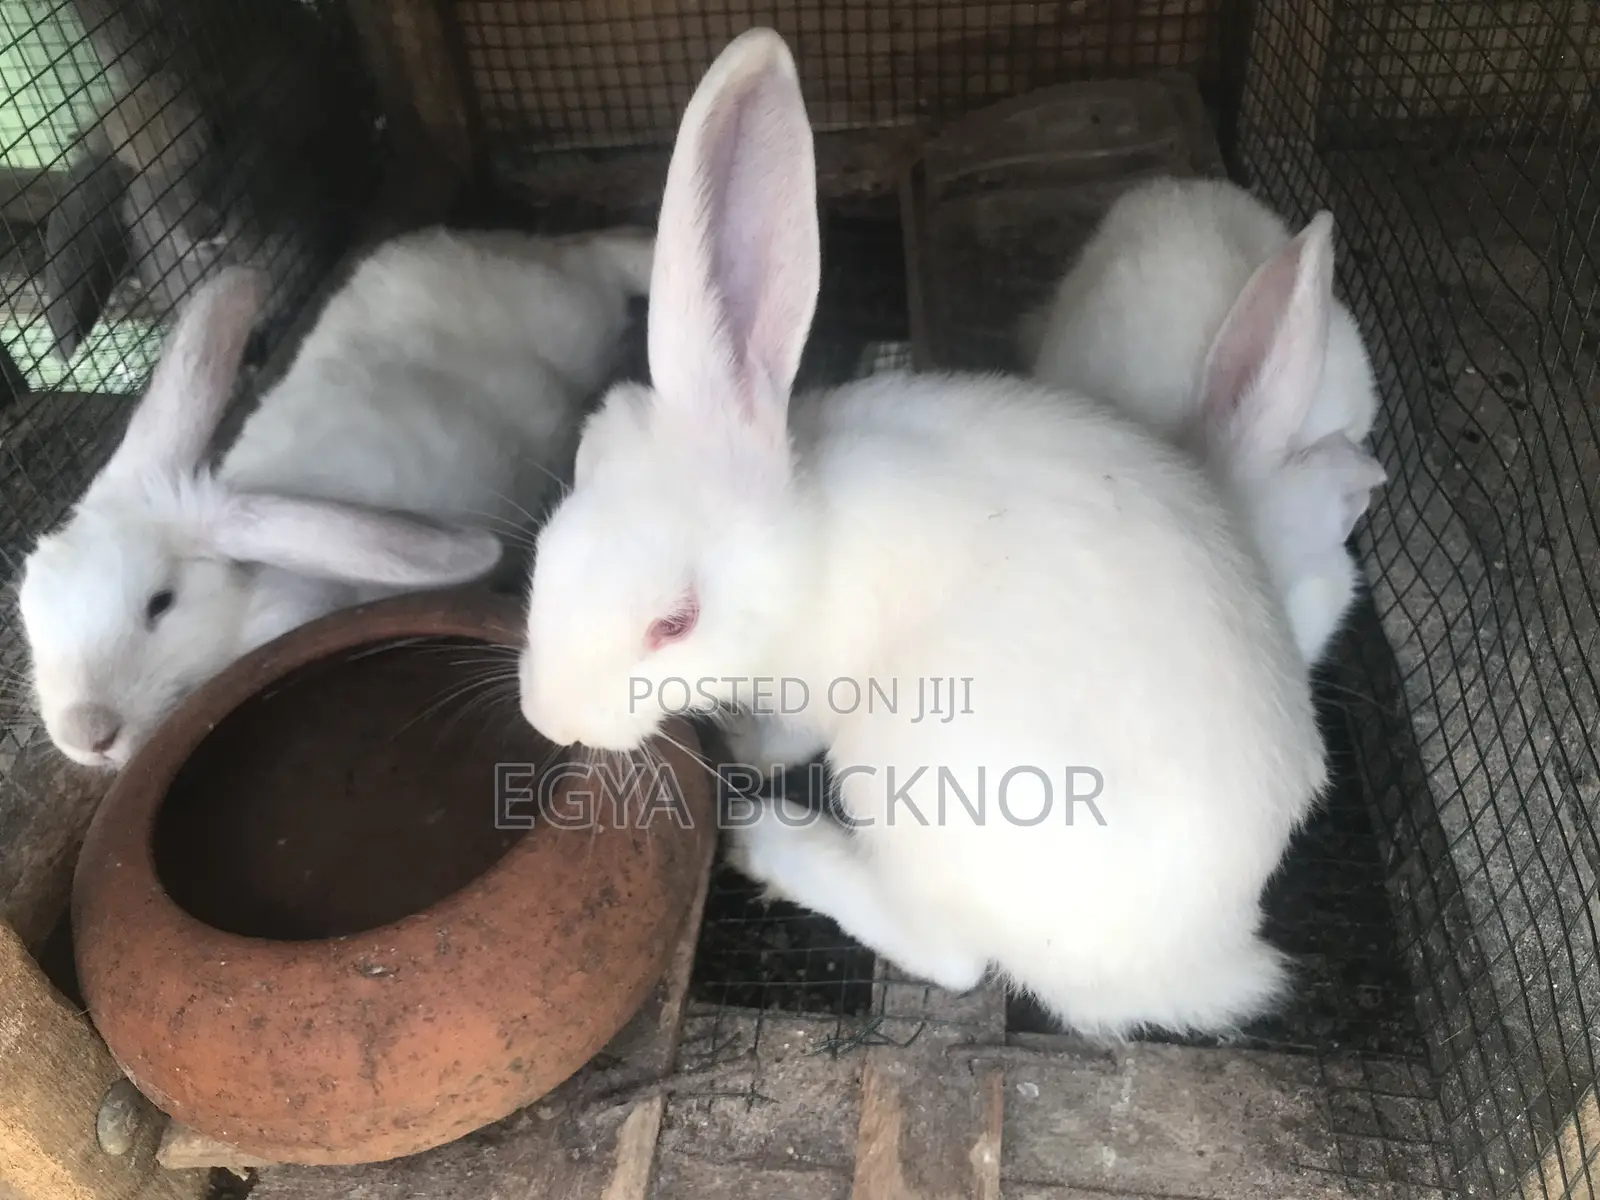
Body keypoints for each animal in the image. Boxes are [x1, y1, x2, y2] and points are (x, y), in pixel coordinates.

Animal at [19, 222, 655, 771]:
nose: (86, 733)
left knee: (605, 254)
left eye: (160, 603)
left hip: (575, 315)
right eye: (29, 613)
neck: (249, 603)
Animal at [515, 29, 1328, 1039]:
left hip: (913, 765)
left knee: (952, 955)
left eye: (675, 623)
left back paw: (772, 843)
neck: (808, 542)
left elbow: (787, 736)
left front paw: (745, 752)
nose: (548, 717)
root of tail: (1203, 960)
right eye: (546, 552)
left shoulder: (820, 692)